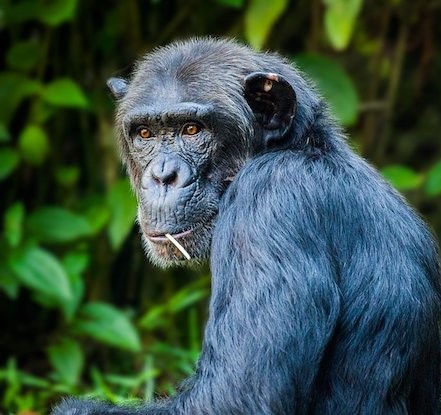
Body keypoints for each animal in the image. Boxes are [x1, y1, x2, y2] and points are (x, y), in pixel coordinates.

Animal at [53, 37, 438, 414]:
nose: (162, 176)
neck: (299, 149)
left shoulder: (268, 203)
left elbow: (235, 396)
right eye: (145, 134)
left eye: (192, 130)